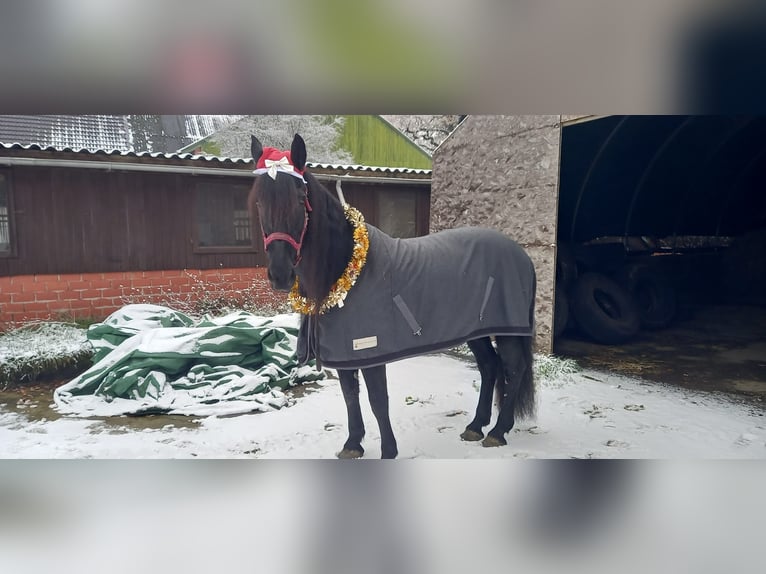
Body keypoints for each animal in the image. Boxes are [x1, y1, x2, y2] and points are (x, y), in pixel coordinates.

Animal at [249, 133, 537, 459]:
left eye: (300, 199)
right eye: (259, 201)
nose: (280, 274)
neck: (345, 267)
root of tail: (521, 255)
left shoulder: (370, 350)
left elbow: (378, 401)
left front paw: (388, 451)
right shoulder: (345, 353)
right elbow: (350, 396)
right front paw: (352, 445)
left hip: (509, 330)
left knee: (513, 369)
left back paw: (498, 431)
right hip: (476, 330)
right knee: (490, 367)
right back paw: (476, 426)